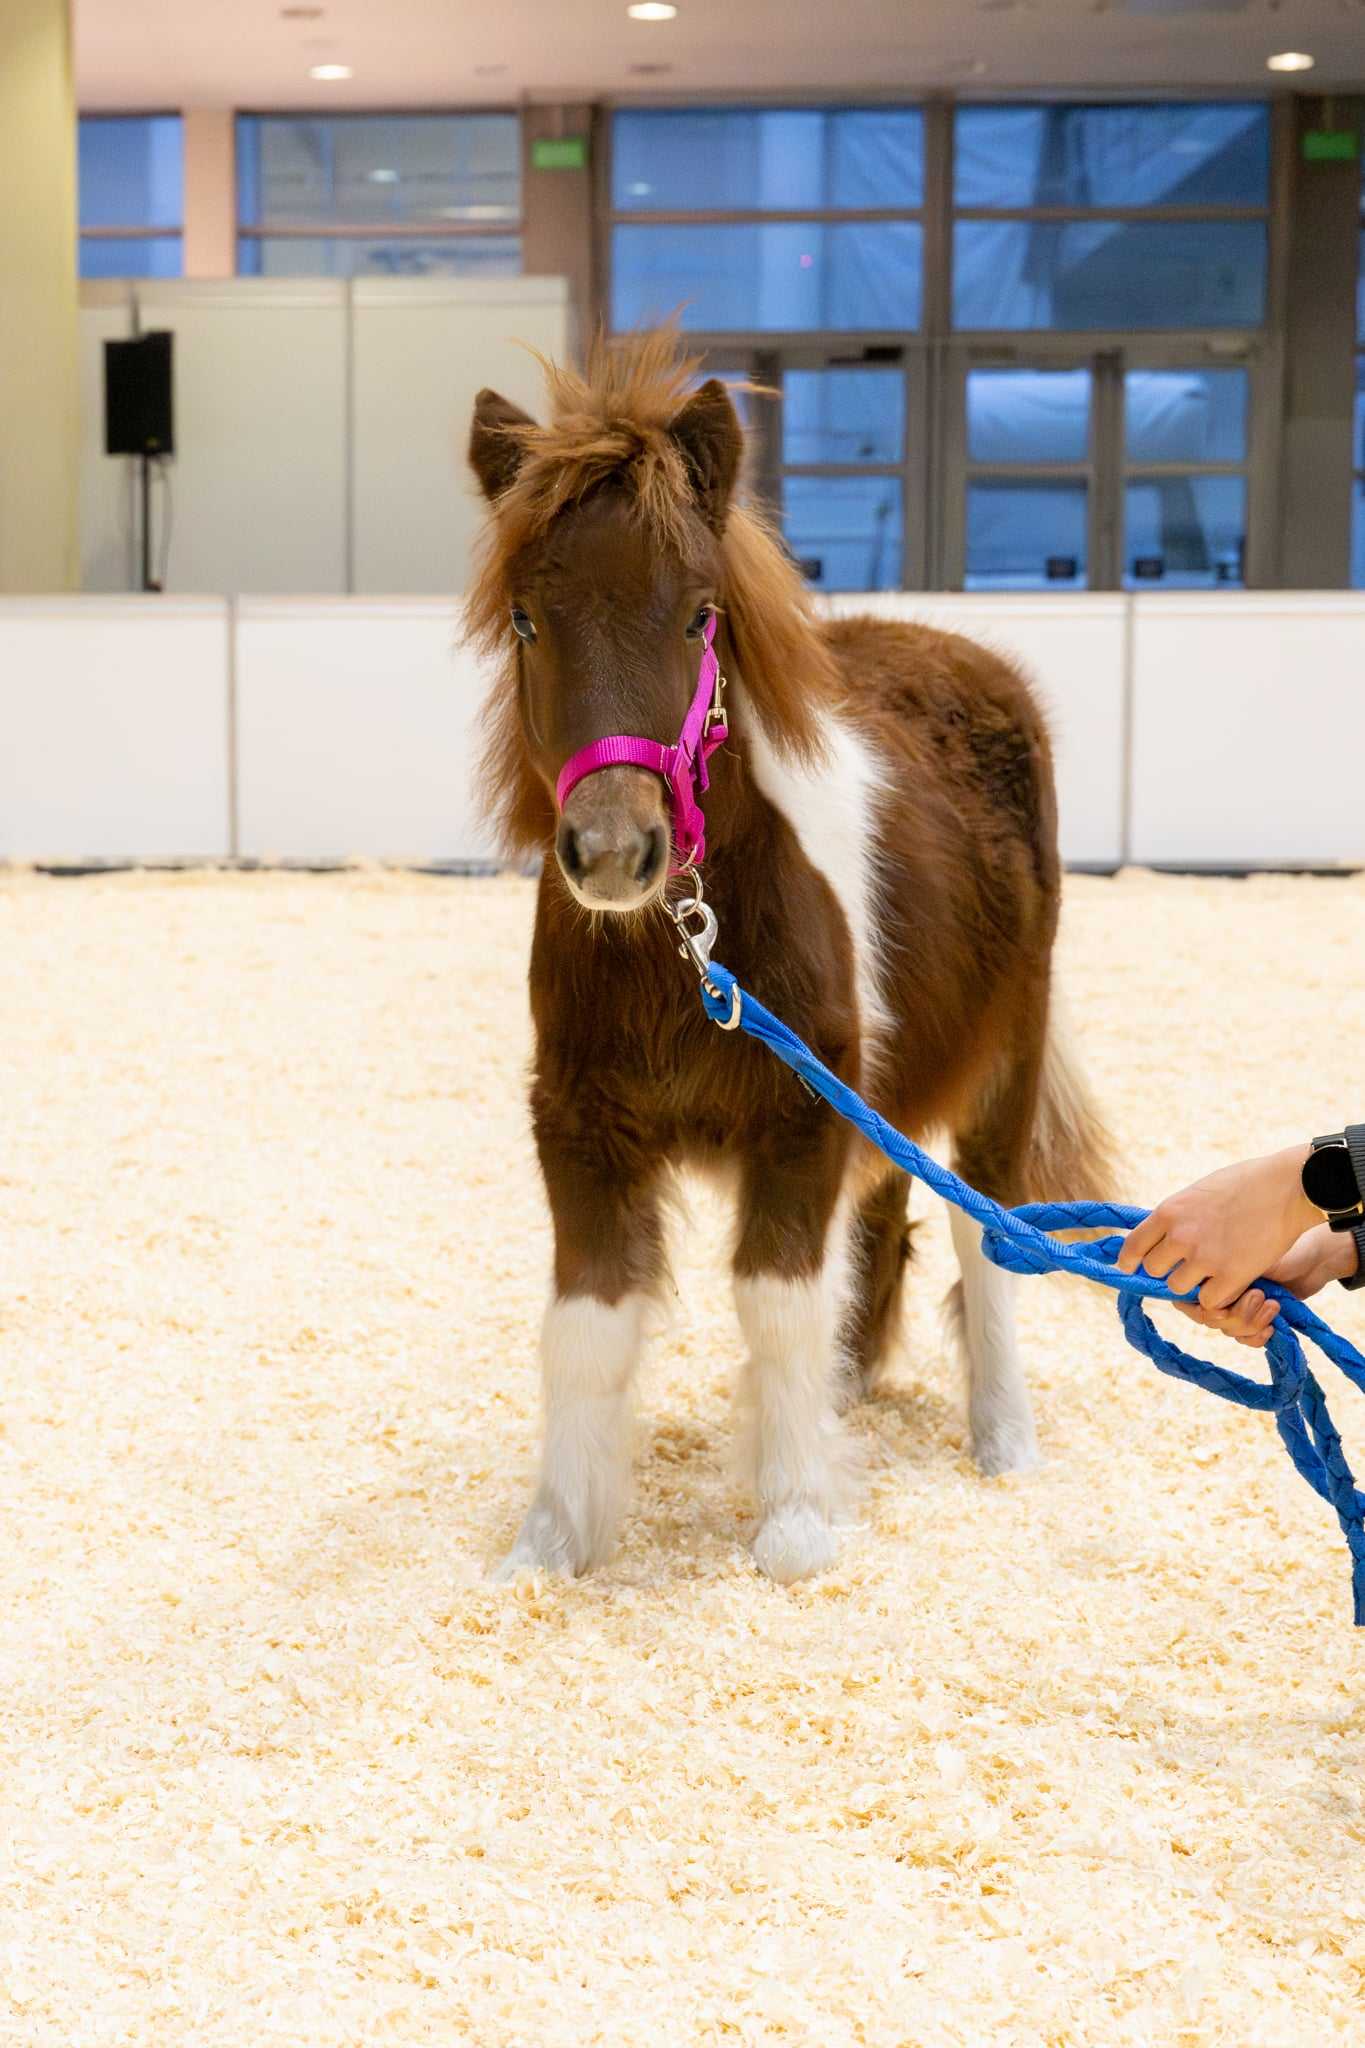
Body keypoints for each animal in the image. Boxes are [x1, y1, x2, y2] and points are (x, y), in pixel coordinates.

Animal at [466, 329, 1114, 1585]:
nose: (613, 851)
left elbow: (776, 1298)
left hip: (1006, 1048)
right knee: (888, 1205)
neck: (683, 955)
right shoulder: (579, 1121)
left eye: (697, 617)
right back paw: (847, 1389)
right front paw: (549, 1543)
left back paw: (1001, 1438)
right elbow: (583, 1326)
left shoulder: (801, 1114)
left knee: (984, 1226)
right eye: (526, 619)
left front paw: (797, 1522)